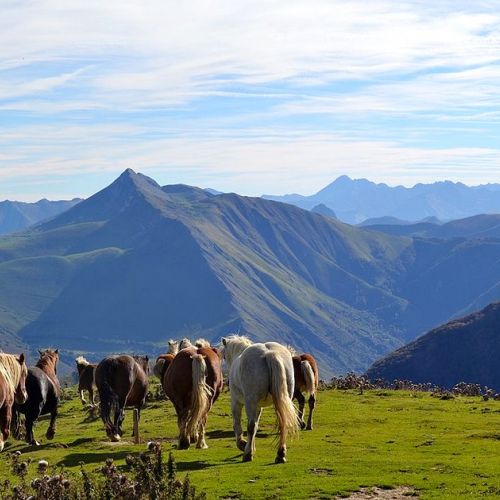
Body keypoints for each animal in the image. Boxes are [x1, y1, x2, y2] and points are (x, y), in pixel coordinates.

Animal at [222, 334, 298, 462]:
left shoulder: (236, 402)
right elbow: (256, 425)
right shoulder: (259, 406)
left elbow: (239, 425)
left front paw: (243, 444)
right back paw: (280, 454)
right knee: (283, 423)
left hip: (250, 401)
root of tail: (270, 353)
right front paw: (251, 447)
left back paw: (247, 454)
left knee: (251, 426)